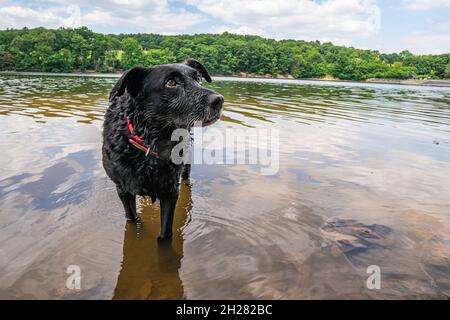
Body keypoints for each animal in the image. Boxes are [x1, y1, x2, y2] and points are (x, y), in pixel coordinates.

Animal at [101, 59, 222, 238]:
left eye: (198, 79)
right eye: (171, 82)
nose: (219, 100)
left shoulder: (170, 191)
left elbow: (165, 233)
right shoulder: (123, 189)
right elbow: (132, 219)